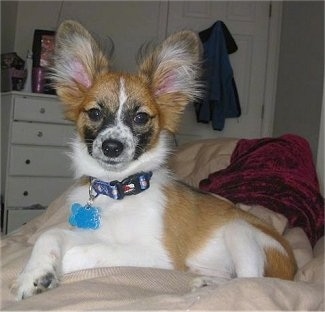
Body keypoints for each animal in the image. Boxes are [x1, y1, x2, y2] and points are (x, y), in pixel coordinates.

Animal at [13, 20, 294, 300]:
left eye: (140, 118)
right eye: (94, 113)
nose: (112, 147)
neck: (119, 189)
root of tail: (292, 267)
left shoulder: (157, 254)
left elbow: (84, 253)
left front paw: (48, 271)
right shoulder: (94, 233)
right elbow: (50, 235)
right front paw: (33, 273)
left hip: (239, 229)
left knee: (251, 279)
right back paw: (207, 283)